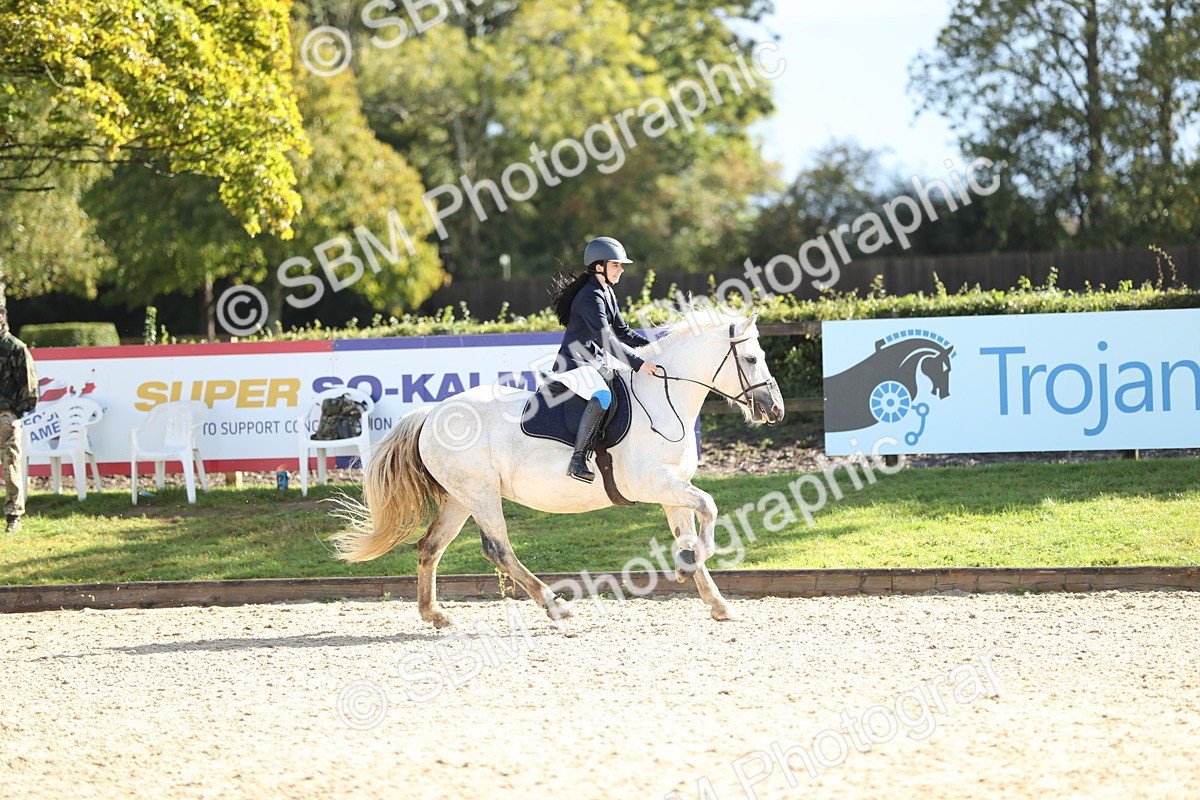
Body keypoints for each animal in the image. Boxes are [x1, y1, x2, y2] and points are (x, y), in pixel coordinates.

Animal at [330, 307, 785, 627]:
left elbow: (691, 530)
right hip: (481, 494)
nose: (775, 409)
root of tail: (432, 412)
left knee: (430, 548)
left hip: (461, 498)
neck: (663, 398)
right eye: (751, 358)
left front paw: (715, 599)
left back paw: (435, 615)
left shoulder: (673, 488)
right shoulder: (652, 483)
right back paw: (556, 606)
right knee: (498, 549)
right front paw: (695, 560)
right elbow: (709, 506)